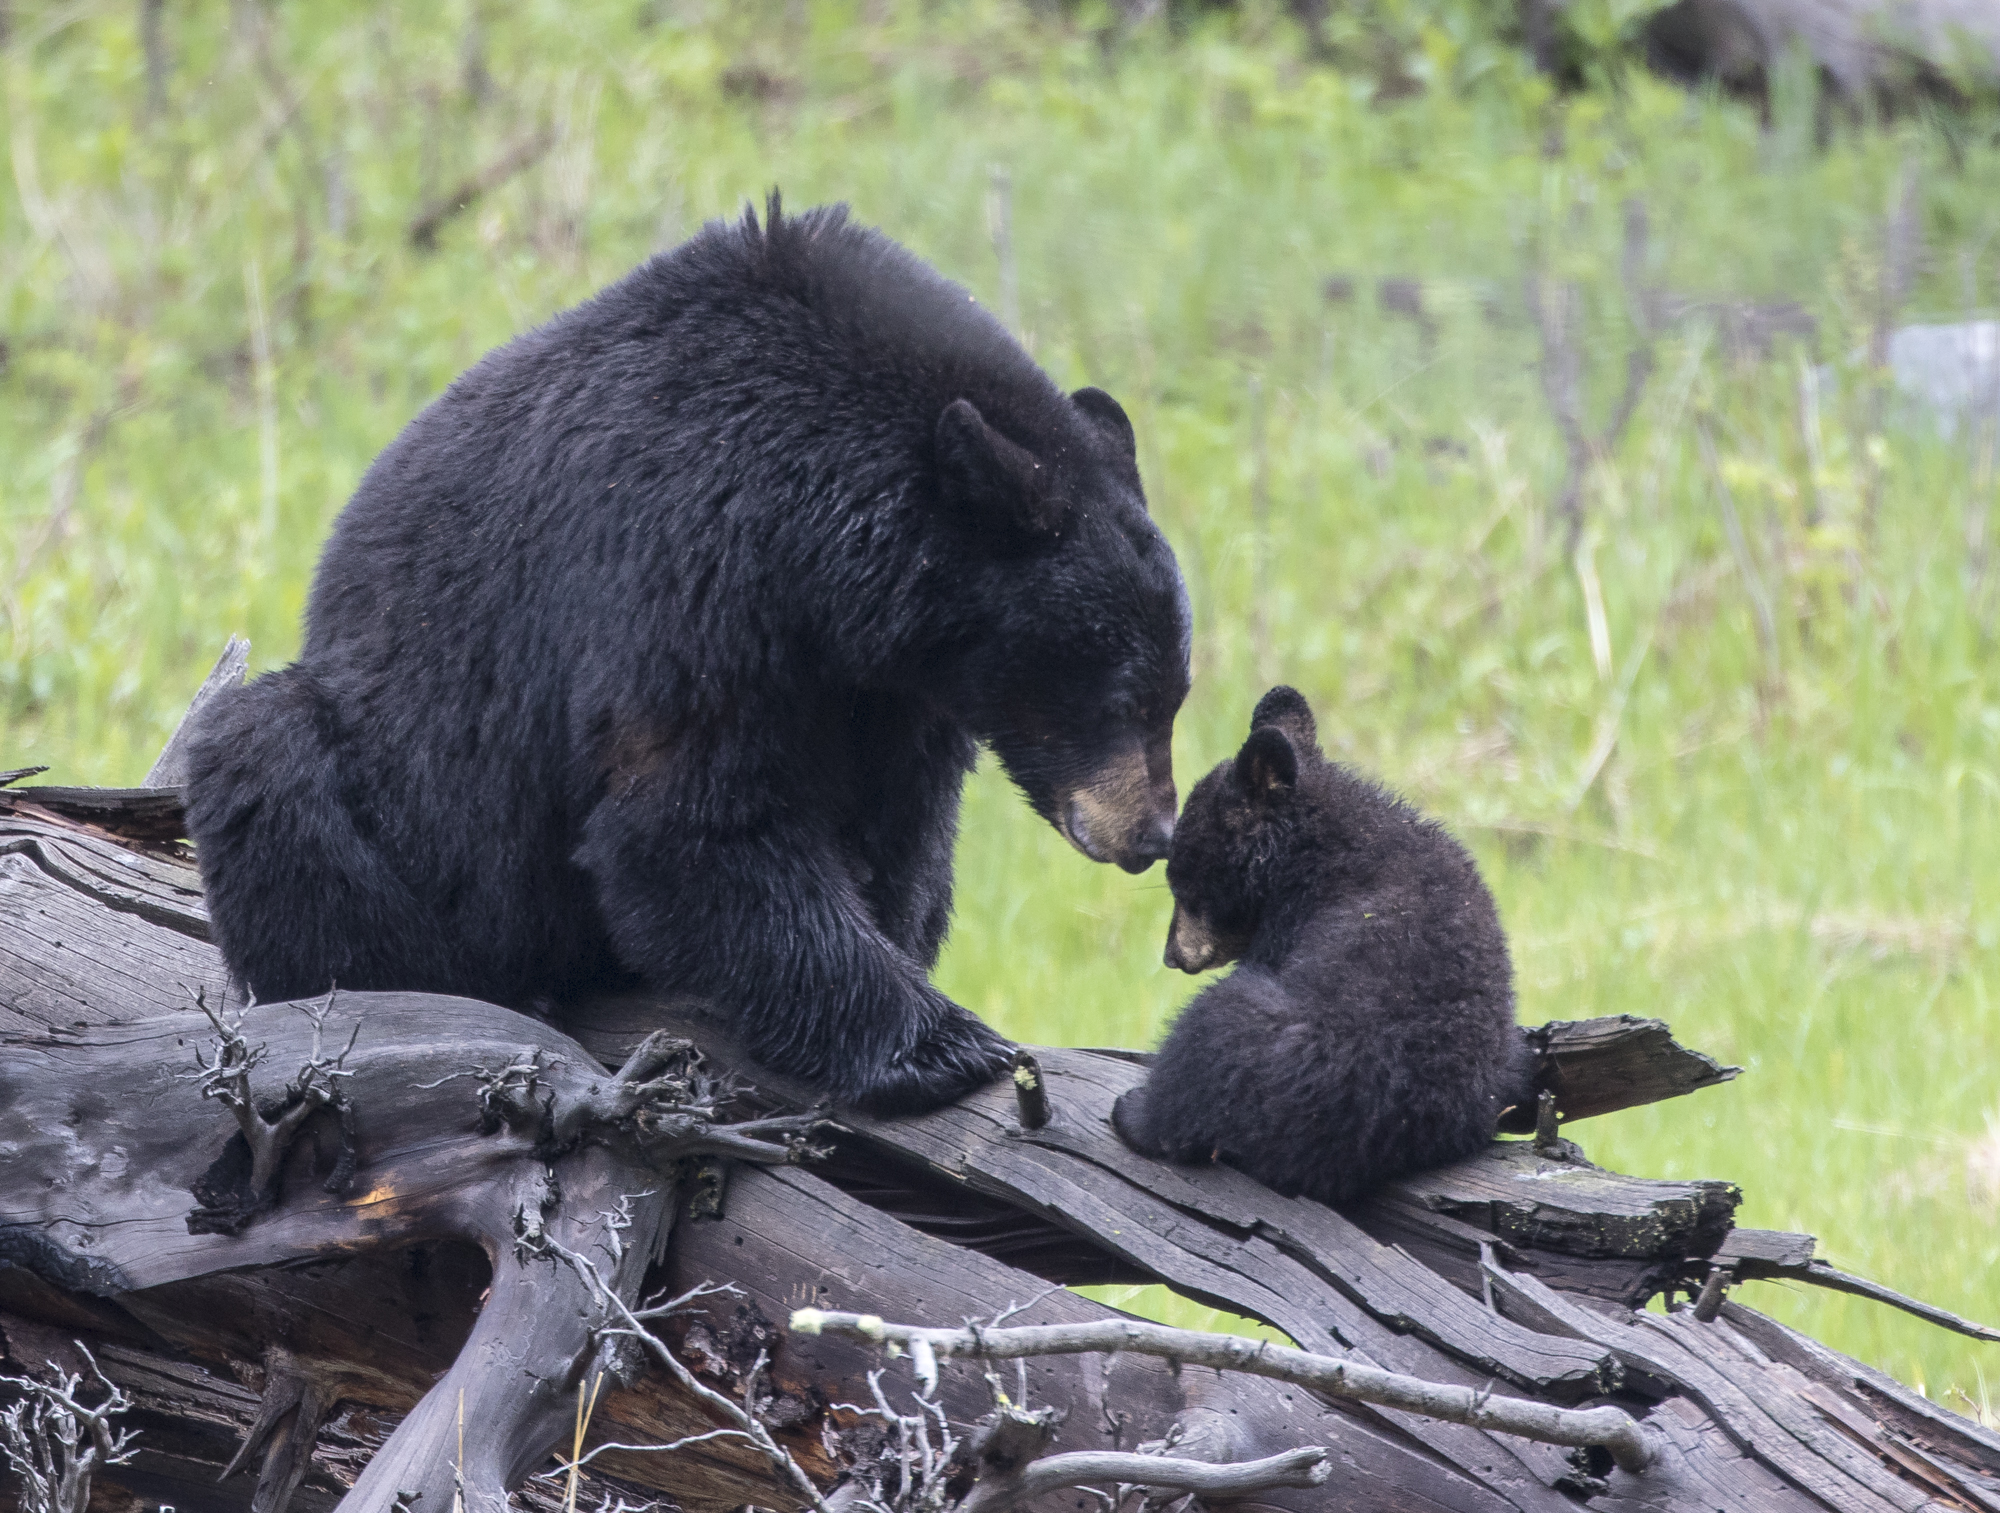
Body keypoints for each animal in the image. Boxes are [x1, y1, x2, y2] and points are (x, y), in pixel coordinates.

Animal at [181, 195, 1191, 1116]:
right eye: (1126, 697)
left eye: (1175, 693)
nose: (1154, 835)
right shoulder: (687, 570)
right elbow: (689, 816)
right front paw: (939, 1041)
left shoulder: (899, 682)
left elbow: (900, 829)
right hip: (398, 796)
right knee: (267, 761)